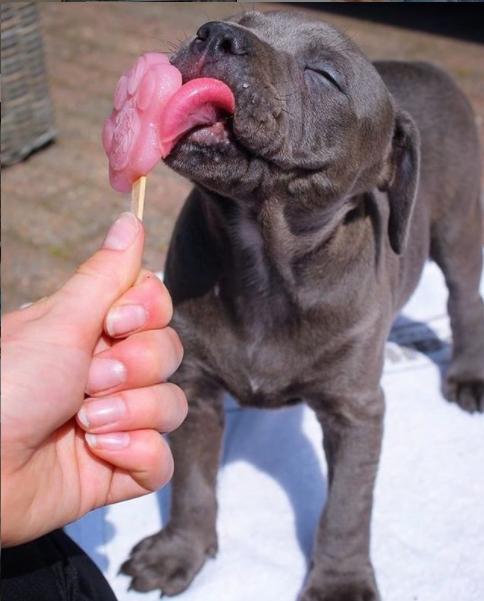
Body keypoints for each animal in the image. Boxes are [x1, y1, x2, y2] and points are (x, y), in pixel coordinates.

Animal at [122, 10, 484, 600]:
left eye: (324, 76)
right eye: (238, 19)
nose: (217, 34)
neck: (266, 257)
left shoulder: (356, 411)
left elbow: (346, 508)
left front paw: (339, 581)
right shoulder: (194, 387)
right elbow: (193, 482)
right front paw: (180, 551)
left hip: (458, 229)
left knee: (465, 301)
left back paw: (468, 376)